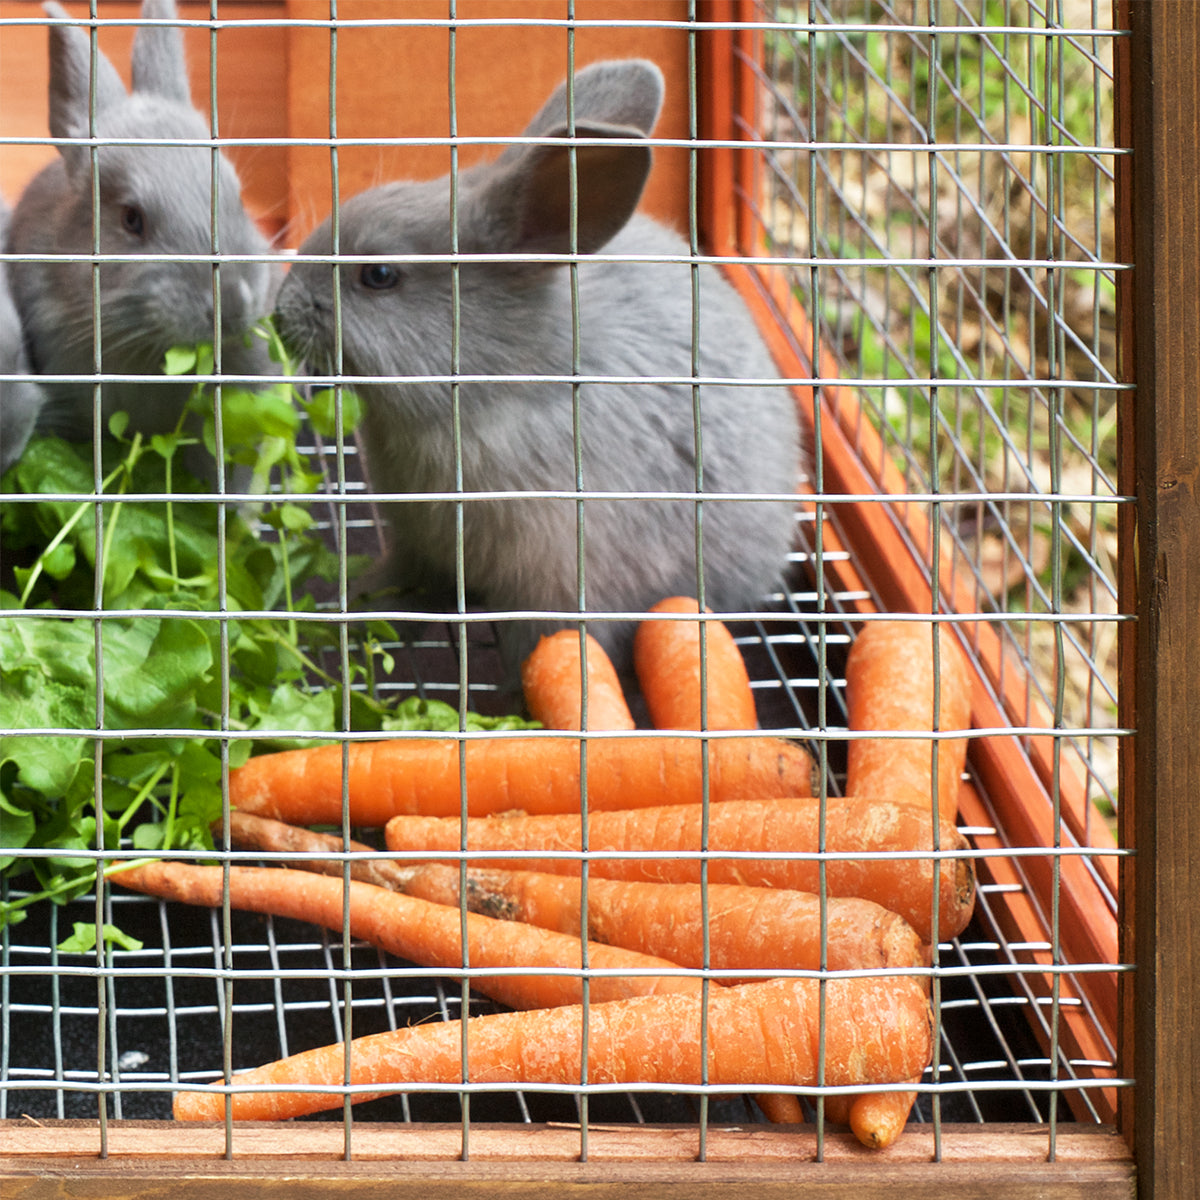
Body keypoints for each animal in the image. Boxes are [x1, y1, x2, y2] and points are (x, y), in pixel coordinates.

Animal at [274, 58, 802, 675]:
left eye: (379, 276)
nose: (280, 308)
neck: (496, 386)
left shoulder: (563, 584)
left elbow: (547, 653)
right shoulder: (418, 540)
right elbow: (403, 578)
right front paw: (356, 606)